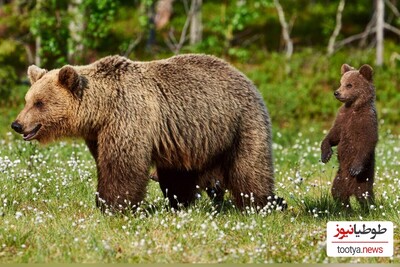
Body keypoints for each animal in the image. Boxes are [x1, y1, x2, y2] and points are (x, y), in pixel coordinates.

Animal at [10, 54, 284, 213]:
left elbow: (122, 164)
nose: (17, 124)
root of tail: (245, 77)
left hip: (240, 123)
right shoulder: (98, 133)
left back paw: (263, 204)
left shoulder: (128, 116)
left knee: (249, 168)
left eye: (39, 103)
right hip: (189, 138)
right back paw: (180, 203)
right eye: (27, 100)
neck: (101, 109)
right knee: (179, 174)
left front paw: (112, 206)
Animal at [322, 63, 378, 210]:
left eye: (349, 85)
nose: (336, 92)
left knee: (365, 195)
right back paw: (346, 209)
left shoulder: (366, 121)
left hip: (364, 178)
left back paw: (369, 209)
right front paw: (326, 155)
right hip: (340, 177)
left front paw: (355, 168)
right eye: (341, 82)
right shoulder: (342, 119)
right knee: (338, 193)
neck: (354, 107)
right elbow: (333, 135)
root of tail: (351, 189)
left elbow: (367, 141)